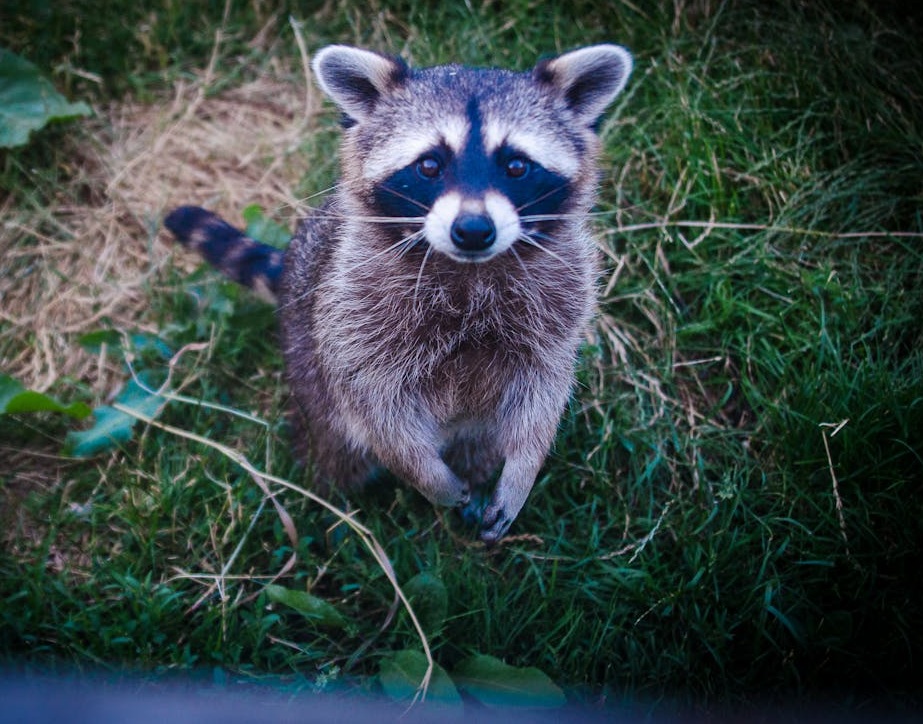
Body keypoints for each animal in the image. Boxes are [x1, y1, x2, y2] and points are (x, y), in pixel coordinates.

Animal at [165, 43, 632, 542]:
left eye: (516, 165)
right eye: (429, 165)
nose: (473, 230)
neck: (468, 269)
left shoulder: (560, 302)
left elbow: (543, 393)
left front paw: (523, 468)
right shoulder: (353, 312)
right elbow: (375, 408)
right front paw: (426, 475)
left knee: (480, 443)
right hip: (306, 359)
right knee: (333, 448)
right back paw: (330, 504)